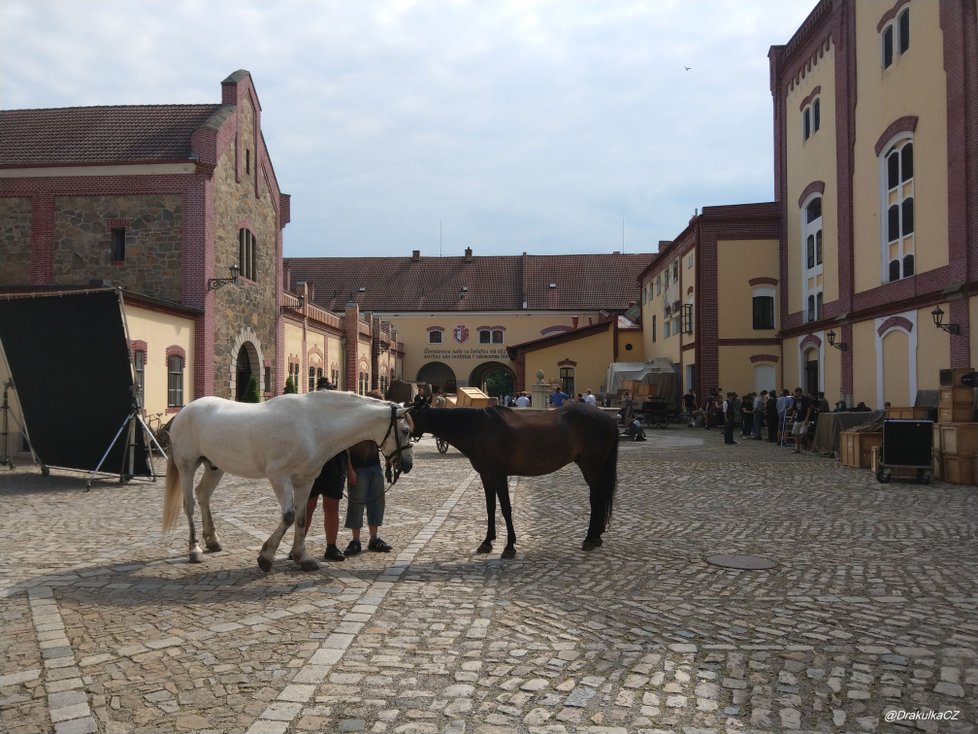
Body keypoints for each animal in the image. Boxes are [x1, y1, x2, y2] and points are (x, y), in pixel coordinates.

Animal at [163, 394, 412, 572]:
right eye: (405, 430)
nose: (407, 464)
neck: (313, 425)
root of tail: (184, 410)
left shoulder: (306, 480)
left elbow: (301, 518)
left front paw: (303, 558)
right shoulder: (279, 477)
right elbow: (289, 516)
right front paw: (265, 557)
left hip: (215, 466)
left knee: (203, 494)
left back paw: (213, 541)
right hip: (187, 465)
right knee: (189, 503)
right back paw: (195, 550)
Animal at [408, 402, 612, 556]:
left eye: (405, 415)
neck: (479, 428)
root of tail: (607, 418)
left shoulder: (499, 476)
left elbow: (506, 509)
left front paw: (509, 546)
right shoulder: (486, 476)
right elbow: (490, 508)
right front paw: (487, 542)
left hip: (593, 467)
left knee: (595, 499)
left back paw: (589, 538)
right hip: (586, 466)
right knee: (599, 497)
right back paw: (597, 537)